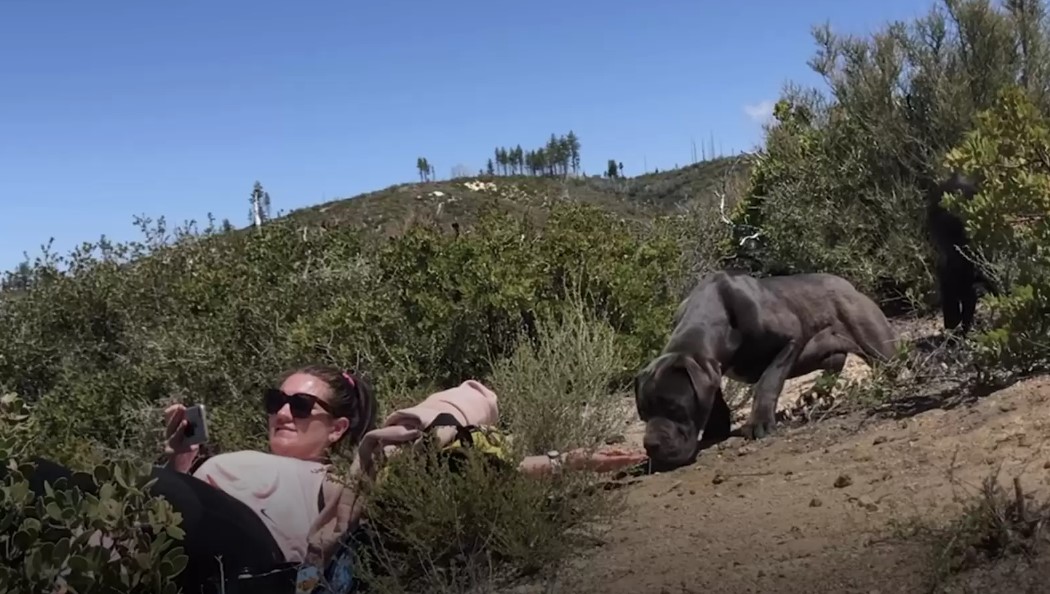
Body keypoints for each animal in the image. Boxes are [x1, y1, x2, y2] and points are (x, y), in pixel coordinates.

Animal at [630, 272, 894, 472]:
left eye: (675, 409)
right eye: (643, 415)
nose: (651, 444)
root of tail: (848, 285)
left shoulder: (790, 340)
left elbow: (769, 381)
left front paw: (760, 423)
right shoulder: (711, 368)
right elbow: (715, 398)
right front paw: (716, 429)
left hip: (877, 344)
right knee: (833, 367)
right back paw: (812, 396)